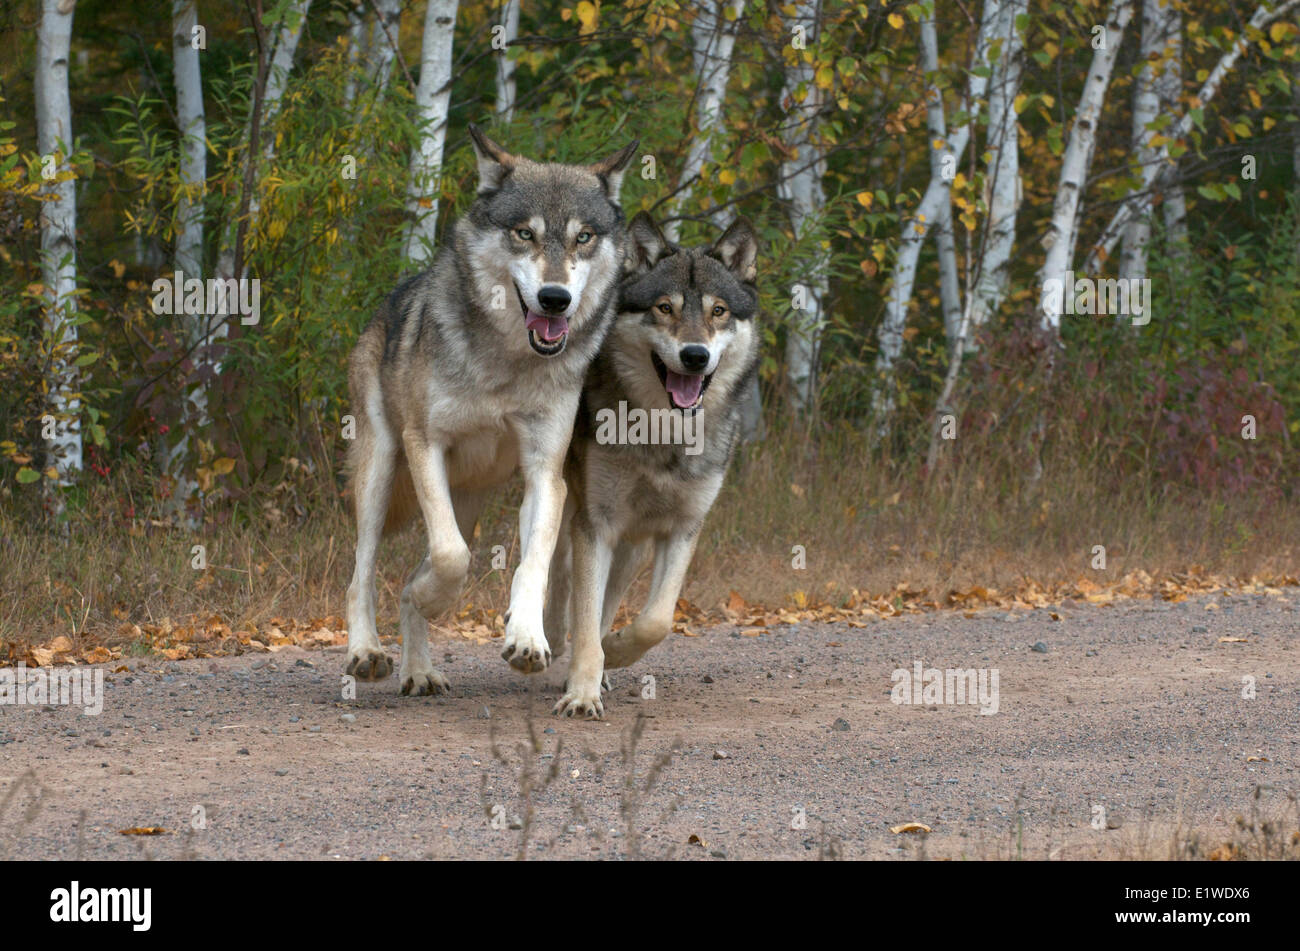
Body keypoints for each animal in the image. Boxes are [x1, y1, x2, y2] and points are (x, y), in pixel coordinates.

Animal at [340, 124, 634, 691]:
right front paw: (436, 598)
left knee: (415, 574)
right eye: (524, 234)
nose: (555, 297)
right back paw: (368, 651)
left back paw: (420, 671)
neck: (509, 365)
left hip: (468, 497)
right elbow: (452, 557)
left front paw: (526, 636)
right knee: (362, 569)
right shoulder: (424, 443)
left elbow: (532, 562)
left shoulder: (546, 473)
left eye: (583, 237)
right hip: (380, 468)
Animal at [546, 211, 759, 717]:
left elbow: (655, 620)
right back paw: (551, 639)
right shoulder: (596, 524)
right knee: (561, 577)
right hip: (575, 513)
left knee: (607, 598)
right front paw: (581, 693)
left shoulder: (682, 528)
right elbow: (585, 615)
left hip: (632, 547)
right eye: (664, 308)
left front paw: (613, 652)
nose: (695, 356)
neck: (663, 435)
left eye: (719, 311)